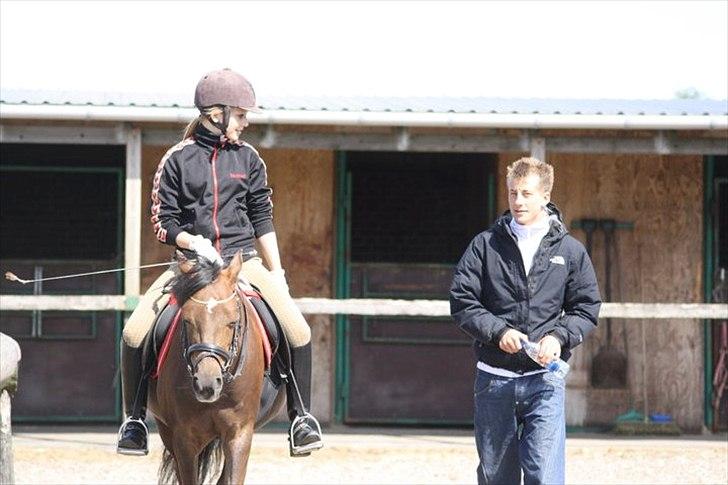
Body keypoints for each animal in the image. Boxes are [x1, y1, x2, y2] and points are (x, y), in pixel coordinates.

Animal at [148, 251, 284, 482]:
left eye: (232, 322)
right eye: (186, 320)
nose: (206, 384)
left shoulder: (240, 433)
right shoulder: (184, 437)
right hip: (166, 430)